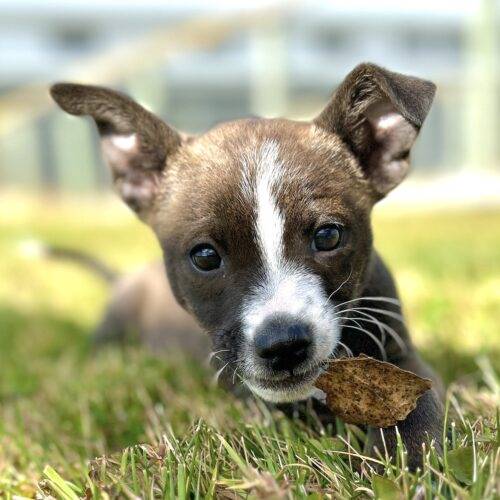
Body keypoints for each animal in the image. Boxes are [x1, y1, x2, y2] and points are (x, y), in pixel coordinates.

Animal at [49, 62, 442, 468]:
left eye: (328, 236)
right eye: (205, 256)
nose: (284, 344)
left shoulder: (405, 360)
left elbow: (413, 409)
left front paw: (405, 460)